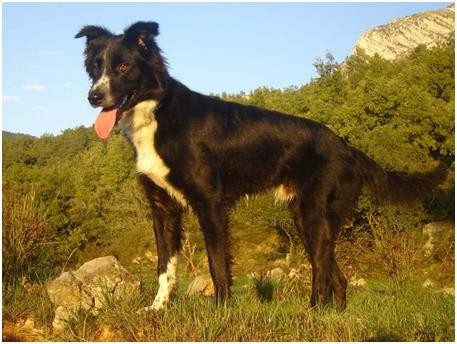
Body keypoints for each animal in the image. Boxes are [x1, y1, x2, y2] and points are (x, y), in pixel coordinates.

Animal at [75, 21, 446, 312]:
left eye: (123, 67)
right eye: (95, 67)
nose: (93, 97)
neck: (157, 112)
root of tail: (347, 146)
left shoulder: (210, 203)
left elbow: (217, 262)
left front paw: (221, 310)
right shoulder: (162, 208)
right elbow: (164, 265)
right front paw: (157, 309)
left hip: (314, 213)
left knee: (321, 268)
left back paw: (312, 311)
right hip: (306, 217)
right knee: (333, 271)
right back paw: (333, 313)